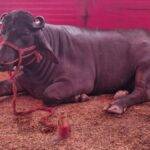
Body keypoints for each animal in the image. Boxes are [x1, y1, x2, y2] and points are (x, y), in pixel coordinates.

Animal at [0, 9, 150, 114]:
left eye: (25, 33)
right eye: (3, 32)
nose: (2, 61)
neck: (36, 70)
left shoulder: (82, 82)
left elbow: (48, 93)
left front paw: (80, 97)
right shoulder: (22, 80)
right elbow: (3, 85)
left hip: (144, 67)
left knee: (142, 91)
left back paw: (116, 105)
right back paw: (120, 92)